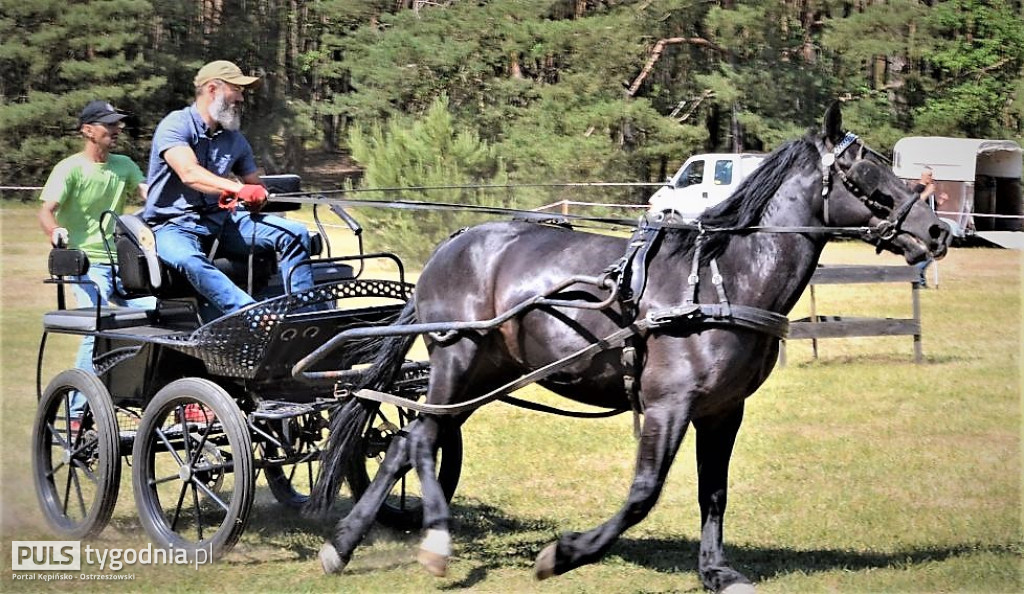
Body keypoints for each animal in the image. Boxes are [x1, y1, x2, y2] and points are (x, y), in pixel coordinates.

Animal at [309, 101, 950, 589]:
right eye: (867, 174)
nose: (939, 230)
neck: (721, 277)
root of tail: (454, 242)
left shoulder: (723, 410)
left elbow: (713, 491)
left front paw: (716, 571)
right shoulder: (668, 405)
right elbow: (644, 493)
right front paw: (563, 554)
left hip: (488, 373)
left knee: (407, 440)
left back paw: (344, 545)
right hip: (457, 359)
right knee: (419, 437)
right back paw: (433, 541)